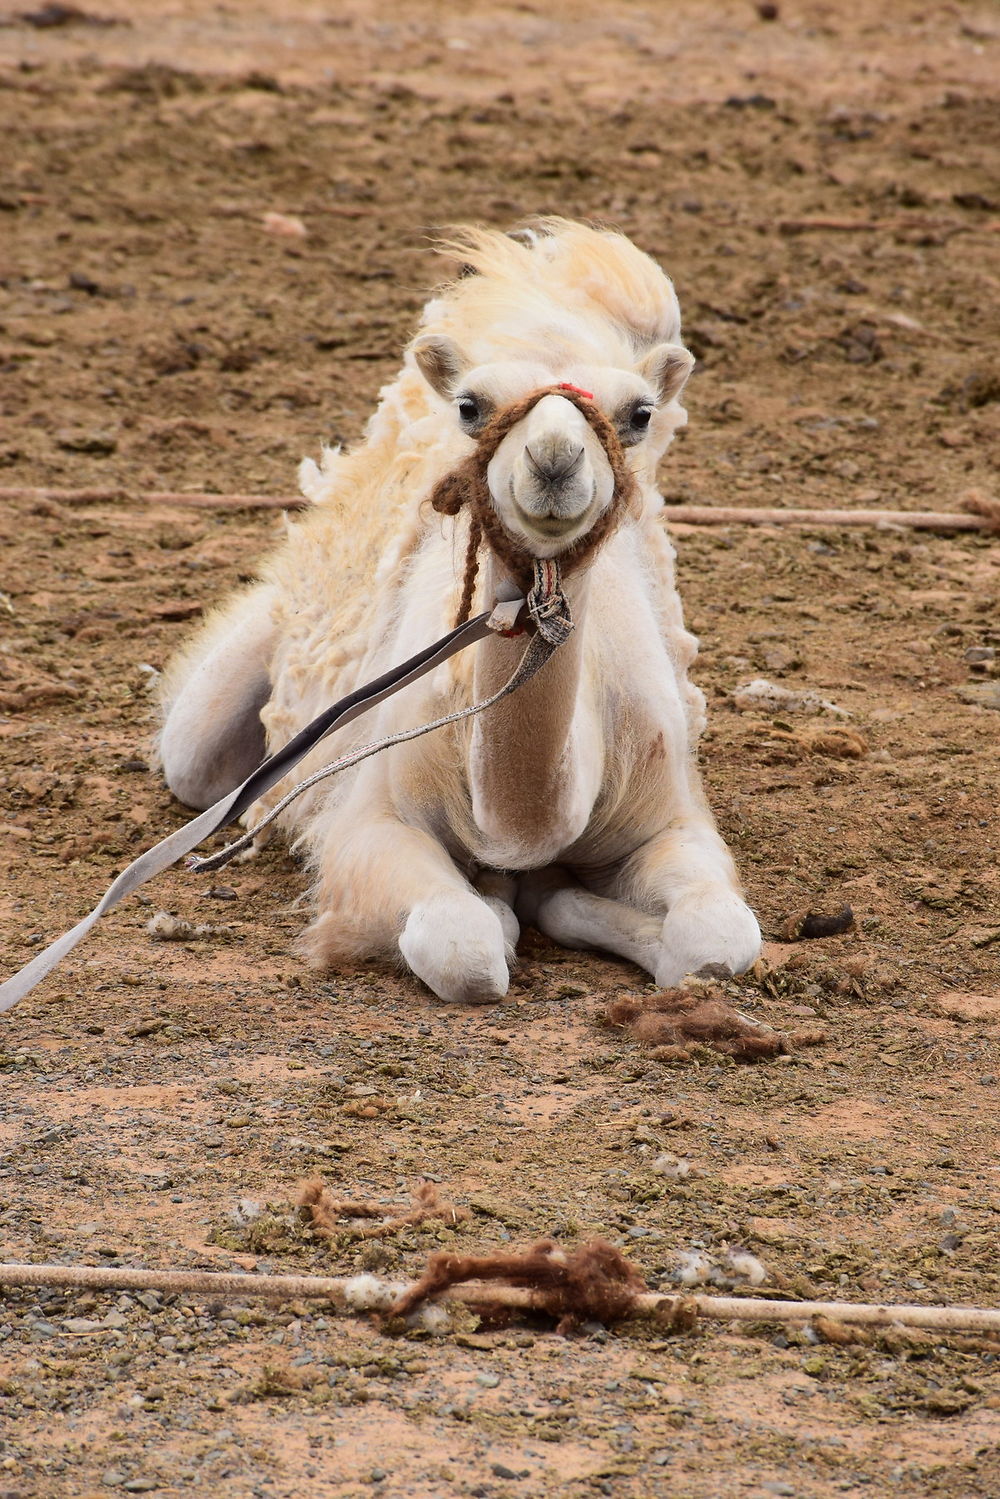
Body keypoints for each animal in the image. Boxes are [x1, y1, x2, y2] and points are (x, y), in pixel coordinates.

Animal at [160, 217, 761, 1001]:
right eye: (471, 406)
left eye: (639, 415)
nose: (554, 458)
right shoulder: (371, 816)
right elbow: (461, 945)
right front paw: (503, 910)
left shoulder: (671, 812)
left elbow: (716, 940)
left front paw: (556, 901)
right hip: (217, 727)